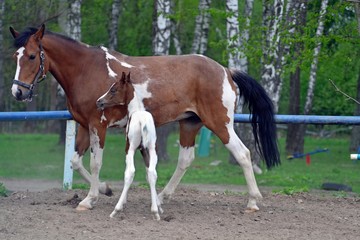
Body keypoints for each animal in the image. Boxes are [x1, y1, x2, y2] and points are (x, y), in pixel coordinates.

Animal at [97, 71, 162, 219]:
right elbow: (149, 174)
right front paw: (158, 207)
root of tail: (142, 122)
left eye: (113, 89)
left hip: (131, 149)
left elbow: (130, 172)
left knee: (130, 172)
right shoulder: (144, 150)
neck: (136, 110)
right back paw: (155, 212)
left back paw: (115, 210)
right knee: (153, 172)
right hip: (152, 148)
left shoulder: (130, 148)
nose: (99, 101)